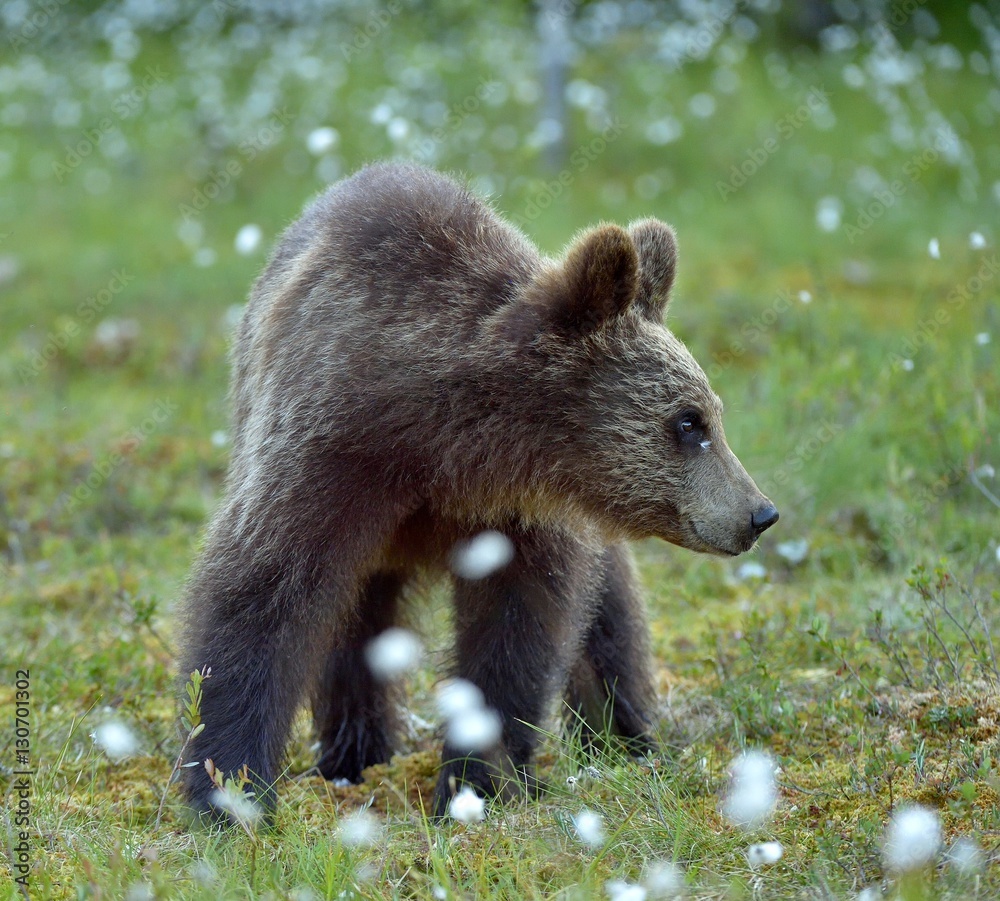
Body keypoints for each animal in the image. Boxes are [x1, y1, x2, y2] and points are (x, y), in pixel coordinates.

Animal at [179, 161, 778, 821]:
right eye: (689, 422)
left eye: (711, 413)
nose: (759, 512)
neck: (449, 441)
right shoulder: (329, 450)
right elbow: (263, 595)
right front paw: (229, 787)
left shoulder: (518, 514)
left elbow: (517, 630)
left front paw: (475, 780)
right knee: (352, 625)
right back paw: (352, 756)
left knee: (611, 617)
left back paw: (629, 739)